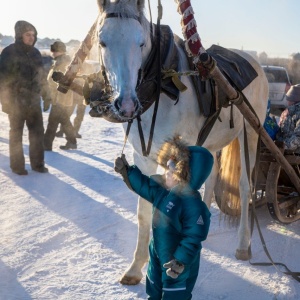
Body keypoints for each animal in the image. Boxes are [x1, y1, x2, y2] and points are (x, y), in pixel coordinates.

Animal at [95, 0, 268, 284]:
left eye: (141, 43)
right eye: (102, 42)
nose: (127, 105)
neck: (162, 87)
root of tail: (256, 63)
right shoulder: (142, 157)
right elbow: (144, 210)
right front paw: (136, 267)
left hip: (251, 133)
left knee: (245, 186)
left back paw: (244, 244)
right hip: (211, 142)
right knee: (212, 177)